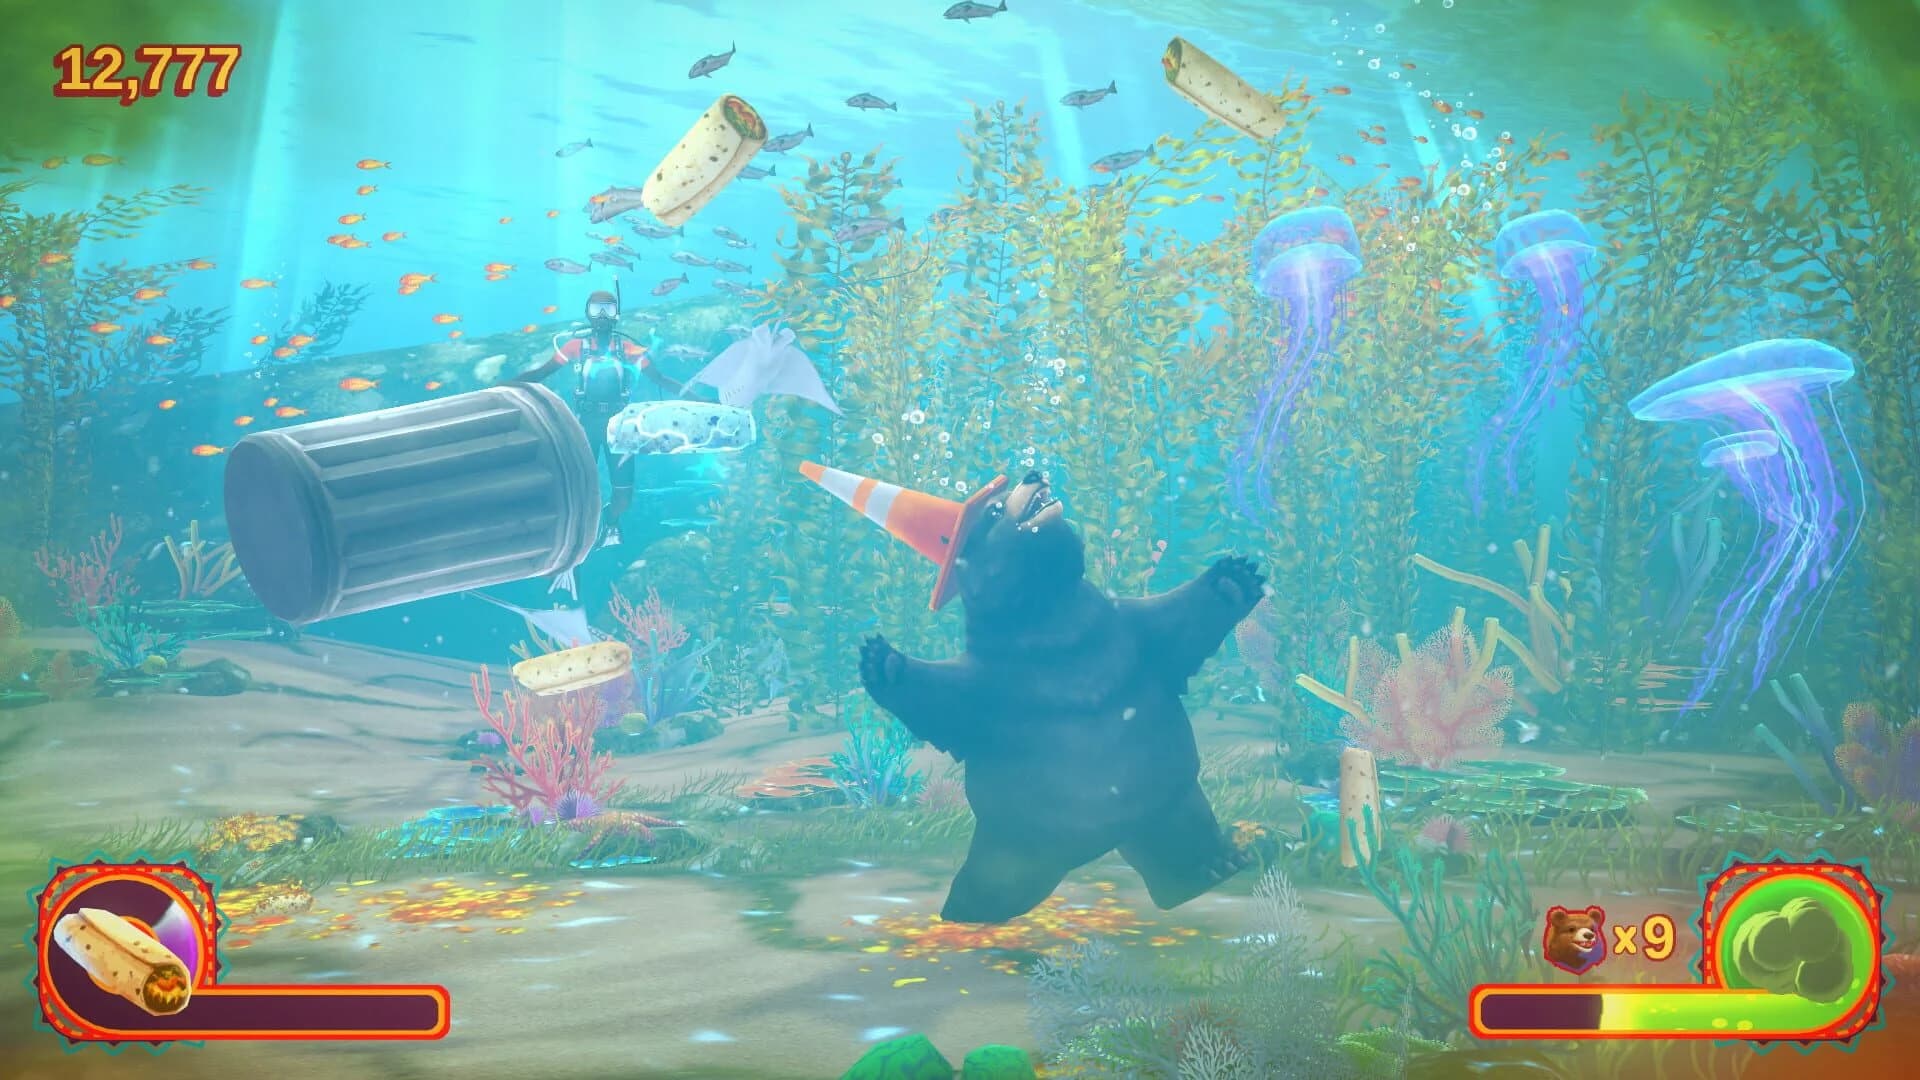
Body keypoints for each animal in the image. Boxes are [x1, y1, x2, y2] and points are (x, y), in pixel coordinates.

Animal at [857, 469, 1264, 923]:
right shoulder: (992, 677)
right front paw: (882, 660)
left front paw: (1233, 578)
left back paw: (1216, 866)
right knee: (990, 880)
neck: (1054, 623)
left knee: (1181, 844)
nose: (1033, 474)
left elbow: (1175, 620)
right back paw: (965, 912)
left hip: (1172, 807)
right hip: (1006, 844)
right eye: (994, 510)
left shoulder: (1127, 632)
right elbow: (943, 696)